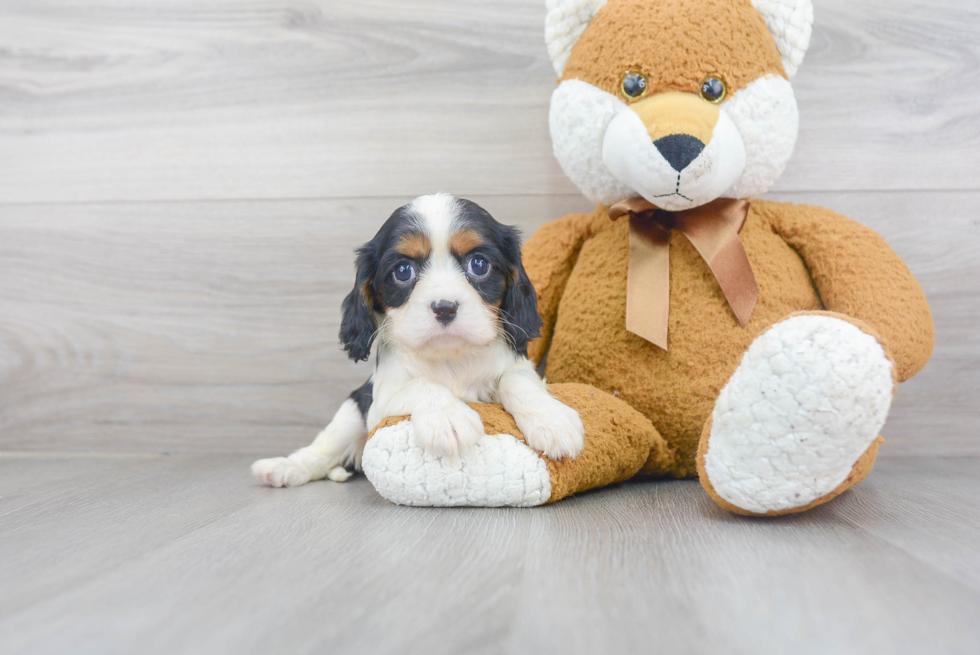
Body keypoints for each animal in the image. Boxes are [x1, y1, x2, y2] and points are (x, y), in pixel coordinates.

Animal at [251, 192, 580, 490]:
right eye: (403, 271)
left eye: (479, 265)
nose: (445, 307)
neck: (451, 358)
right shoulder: (380, 403)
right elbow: (421, 384)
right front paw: (448, 417)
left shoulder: (518, 368)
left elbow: (517, 380)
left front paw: (552, 419)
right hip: (352, 410)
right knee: (322, 450)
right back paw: (284, 468)